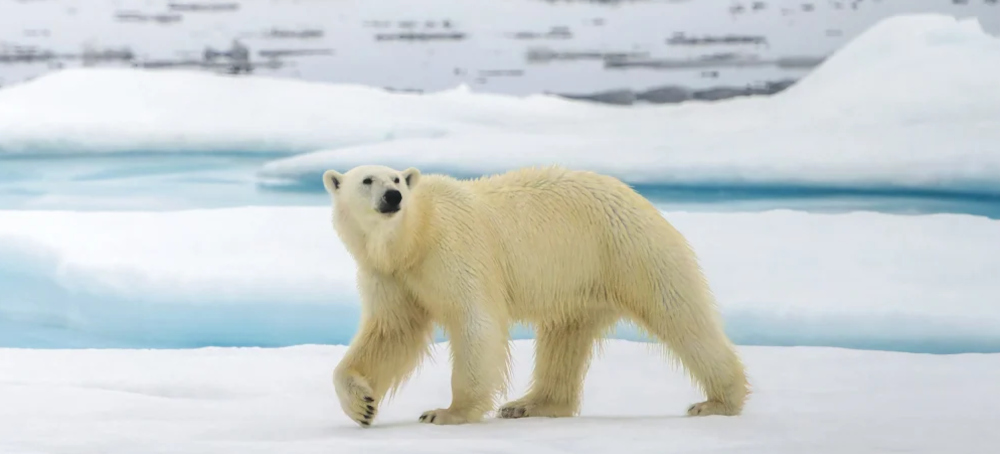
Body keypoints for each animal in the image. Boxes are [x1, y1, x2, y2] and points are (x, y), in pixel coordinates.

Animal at [323, 164, 749, 427]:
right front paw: (362, 406)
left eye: (396, 177)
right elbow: (391, 332)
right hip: (580, 280)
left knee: (680, 315)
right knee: (564, 337)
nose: (393, 196)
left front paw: (446, 412)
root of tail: (637, 197)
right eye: (367, 180)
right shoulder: (390, 275)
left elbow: (475, 322)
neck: (414, 237)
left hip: (628, 249)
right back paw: (530, 404)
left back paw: (718, 401)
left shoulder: (454, 250)